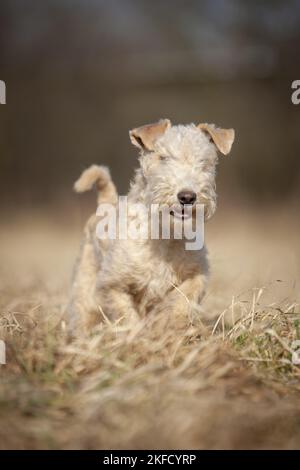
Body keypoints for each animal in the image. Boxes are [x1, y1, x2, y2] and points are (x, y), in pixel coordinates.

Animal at [68, 119, 234, 332]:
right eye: (163, 158)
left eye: (204, 162)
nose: (187, 197)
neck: (164, 235)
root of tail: (106, 203)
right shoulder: (113, 283)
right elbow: (126, 314)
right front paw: (136, 334)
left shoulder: (196, 274)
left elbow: (183, 301)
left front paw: (172, 328)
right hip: (85, 285)